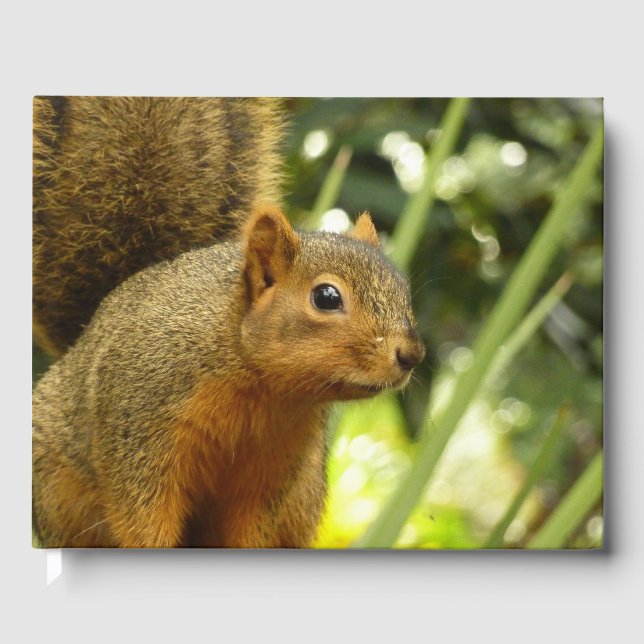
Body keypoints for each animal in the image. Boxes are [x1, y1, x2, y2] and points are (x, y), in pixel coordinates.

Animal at [32, 97, 426, 548]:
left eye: (403, 289)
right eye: (326, 297)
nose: (412, 354)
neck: (259, 386)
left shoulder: (275, 468)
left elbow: (251, 528)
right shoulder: (140, 426)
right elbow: (142, 516)